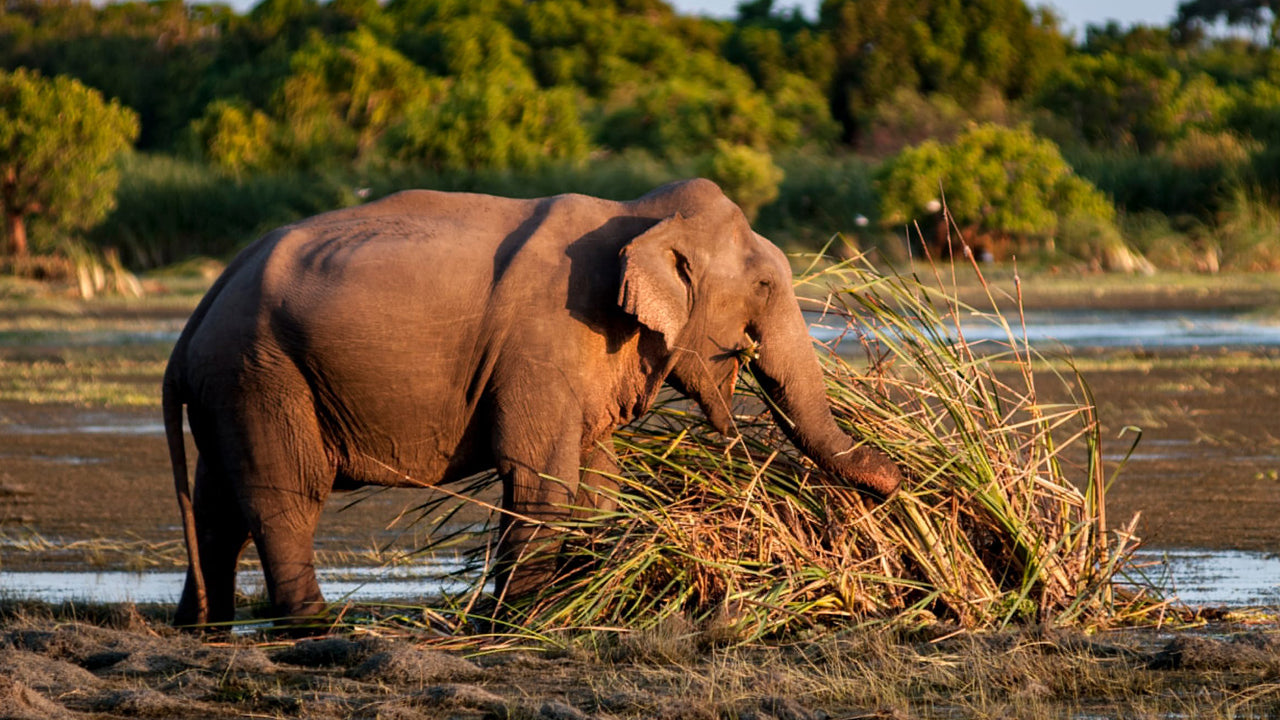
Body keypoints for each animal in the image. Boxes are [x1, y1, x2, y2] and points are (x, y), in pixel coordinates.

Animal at [165, 176, 906, 625]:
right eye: (763, 286)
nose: (904, 477)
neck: (637, 213)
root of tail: (192, 324)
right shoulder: (542, 342)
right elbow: (542, 482)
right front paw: (517, 623)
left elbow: (597, 486)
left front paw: (582, 602)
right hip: (261, 374)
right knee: (284, 499)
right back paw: (316, 625)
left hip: (233, 387)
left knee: (219, 507)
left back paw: (205, 625)